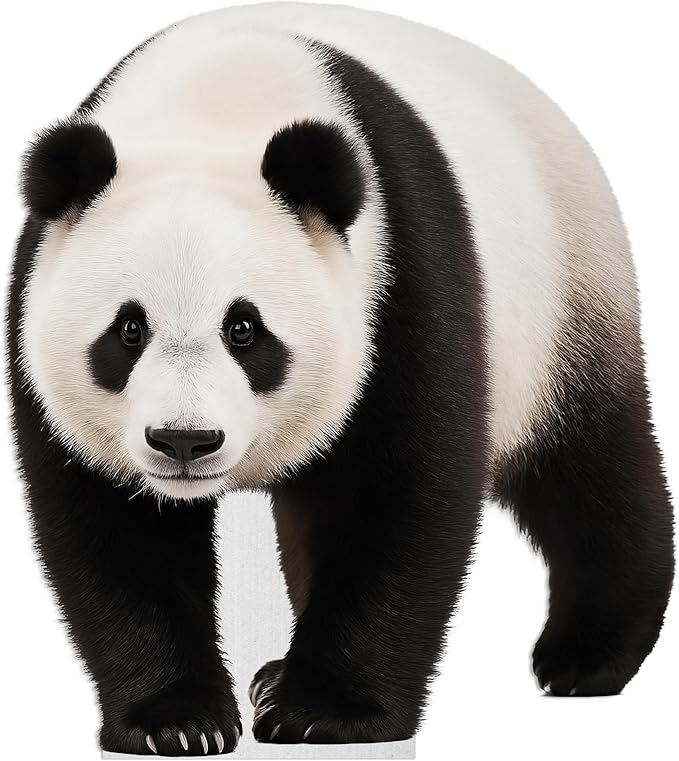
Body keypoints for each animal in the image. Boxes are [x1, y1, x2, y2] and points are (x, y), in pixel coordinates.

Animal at [8, 3, 674, 757]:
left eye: (245, 329)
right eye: (127, 331)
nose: (184, 442)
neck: (219, 98)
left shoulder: (400, 277)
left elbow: (397, 494)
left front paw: (324, 712)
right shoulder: (39, 309)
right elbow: (114, 530)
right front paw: (176, 720)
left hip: (562, 297)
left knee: (586, 467)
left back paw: (586, 653)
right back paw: (273, 672)